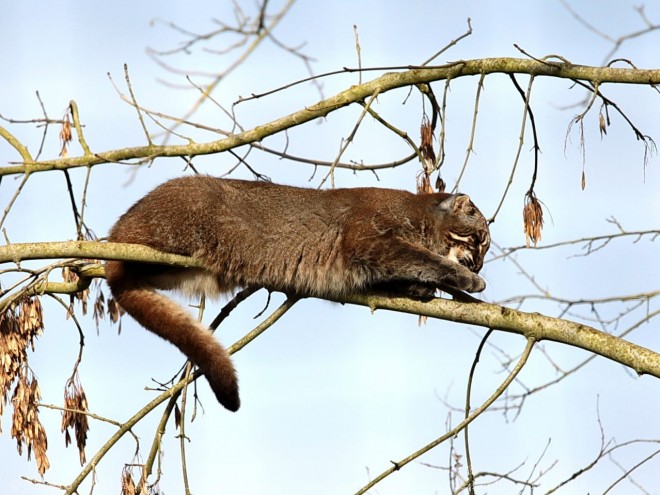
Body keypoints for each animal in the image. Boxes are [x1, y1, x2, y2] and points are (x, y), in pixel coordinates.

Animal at [105, 176, 490, 412]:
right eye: (479, 241)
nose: (481, 265)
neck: (420, 215)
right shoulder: (369, 242)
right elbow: (421, 257)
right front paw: (466, 279)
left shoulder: (367, 265)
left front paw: (420, 286)